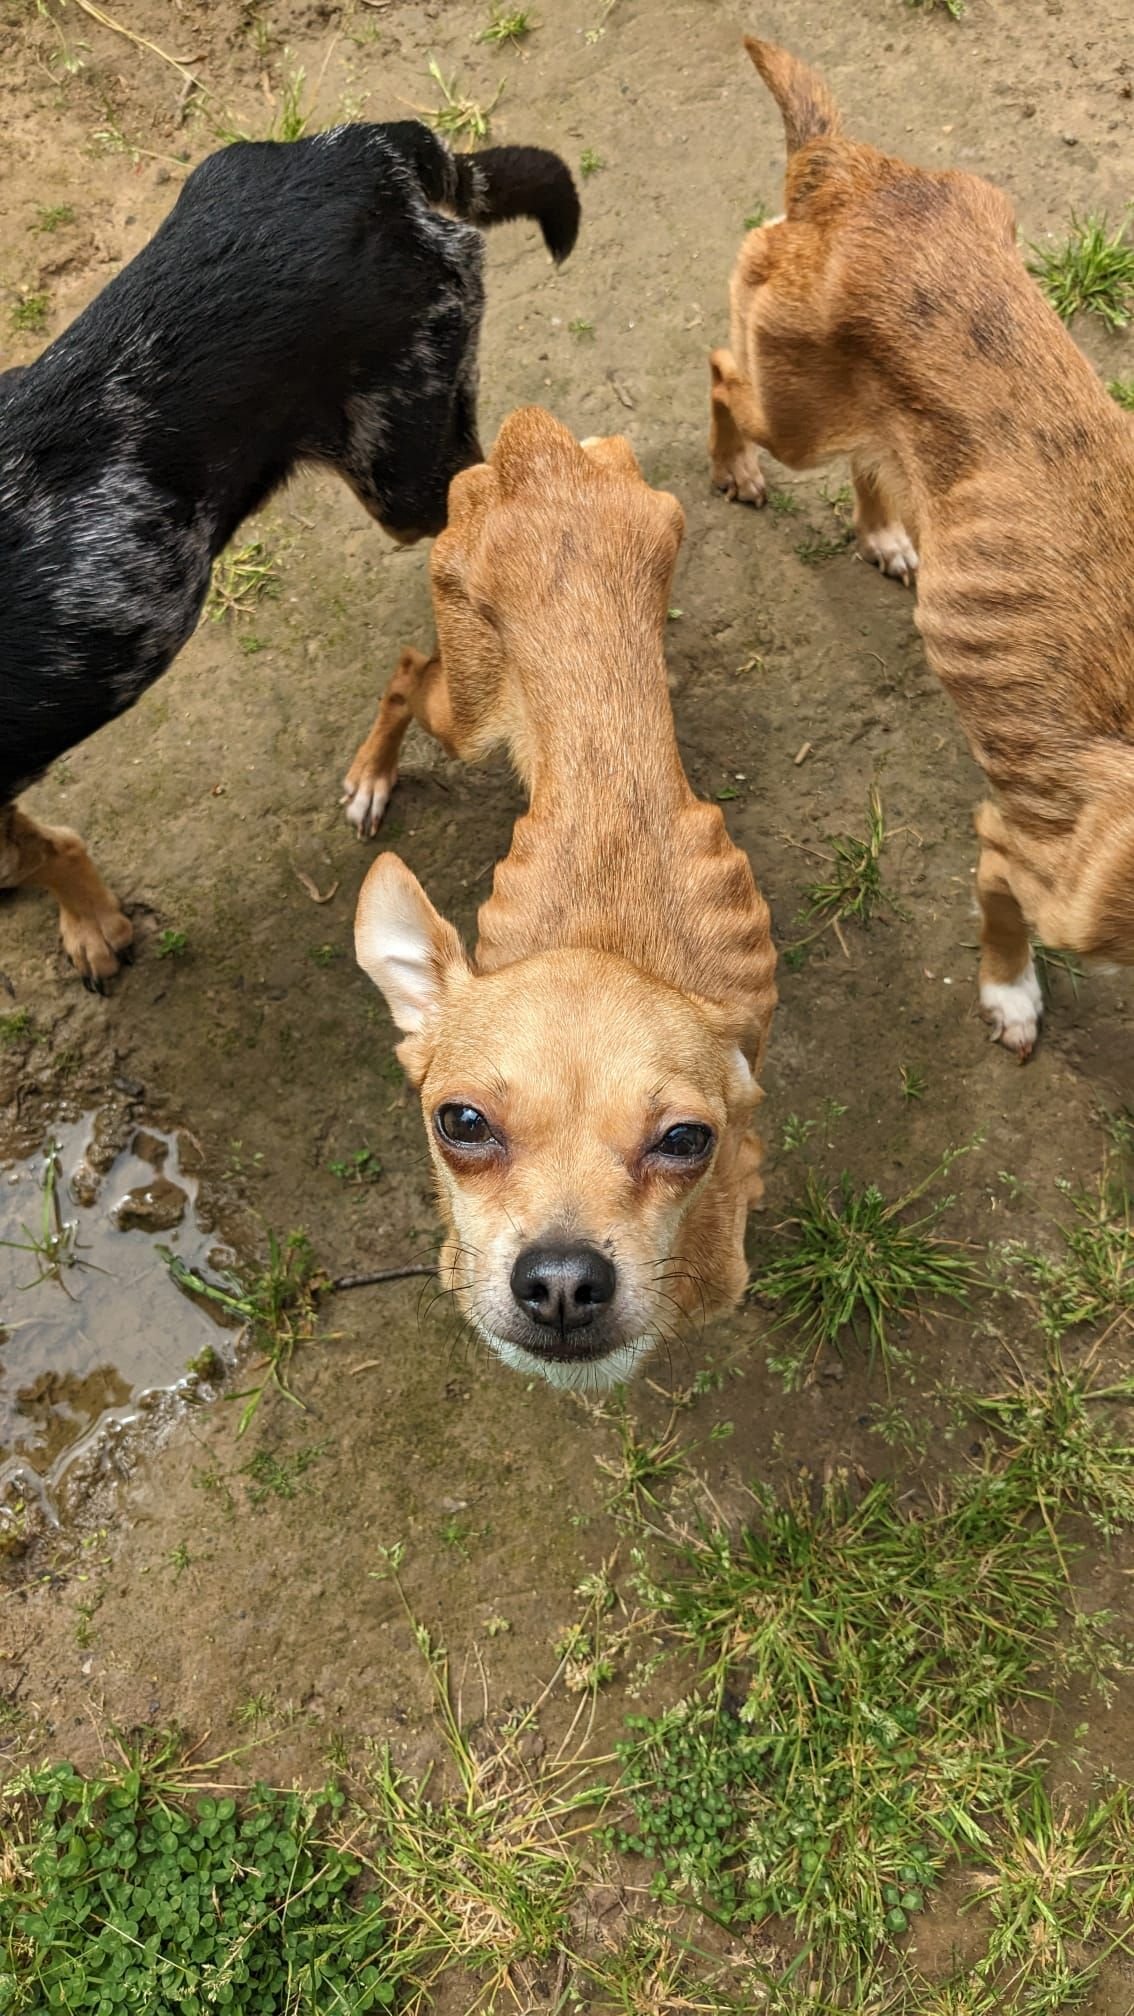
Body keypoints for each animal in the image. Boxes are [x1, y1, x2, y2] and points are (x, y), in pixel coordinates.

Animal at [353, 409, 774, 1387]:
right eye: (461, 1123)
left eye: (685, 1140)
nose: (561, 1281)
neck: (609, 938)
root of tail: (533, 446)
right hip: (464, 712)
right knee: (407, 671)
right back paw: (371, 774)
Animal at [706, 39, 1129, 1064]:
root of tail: (846, 166)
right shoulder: (1022, 861)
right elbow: (1005, 935)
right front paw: (1011, 1001)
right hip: (790, 412)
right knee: (723, 375)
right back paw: (735, 469)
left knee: (872, 458)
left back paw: (886, 535)